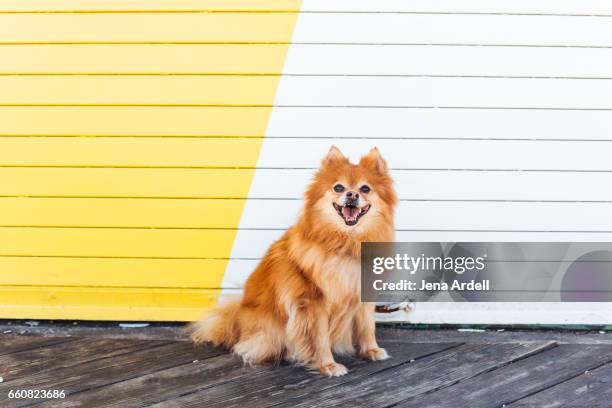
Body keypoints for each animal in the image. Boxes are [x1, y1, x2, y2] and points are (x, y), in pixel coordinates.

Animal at [194, 146, 400, 376]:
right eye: (338, 187)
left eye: (365, 189)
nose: (352, 194)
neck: (346, 245)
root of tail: (237, 319)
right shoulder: (313, 301)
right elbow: (320, 337)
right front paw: (328, 365)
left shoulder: (361, 293)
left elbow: (367, 326)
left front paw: (371, 350)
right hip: (271, 327)